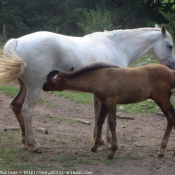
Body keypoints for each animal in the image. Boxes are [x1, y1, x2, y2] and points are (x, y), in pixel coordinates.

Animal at [1, 23, 175, 152]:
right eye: (170, 46)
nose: (172, 67)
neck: (117, 46)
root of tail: (17, 41)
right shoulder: (112, 94)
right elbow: (107, 117)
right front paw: (109, 142)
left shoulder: (99, 93)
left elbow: (98, 114)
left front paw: (99, 140)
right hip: (35, 87)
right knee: (27, 110)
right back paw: (35, 144)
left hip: (25, 87)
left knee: (16, 105)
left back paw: (25, 141)